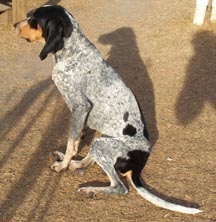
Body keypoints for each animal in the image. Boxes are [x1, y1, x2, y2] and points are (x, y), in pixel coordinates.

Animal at [14, 4, 202, 213]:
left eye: (33, 19)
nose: (14, 25)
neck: (73, 52)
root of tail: (140, 164)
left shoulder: (80, 106)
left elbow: (72, 142)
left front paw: (62, 166)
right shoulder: (82, 115)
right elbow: (76, 139)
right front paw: (67, 160)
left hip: (102, 145)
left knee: (120, 187)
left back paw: (88, 187)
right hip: (100, 138)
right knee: (88, 161)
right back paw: (73, 163)